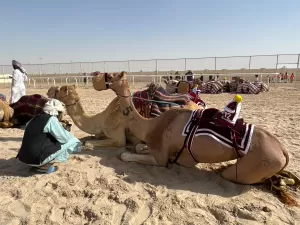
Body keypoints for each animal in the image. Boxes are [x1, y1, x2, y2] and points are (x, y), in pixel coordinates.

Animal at [92, 71, 290, 185]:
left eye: (111, 76)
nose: (94, 77)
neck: (150, 125)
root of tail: (282, 150)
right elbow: (140, 146)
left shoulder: (161, 157)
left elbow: (126, 155)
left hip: (261, 161)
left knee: (231, 174)